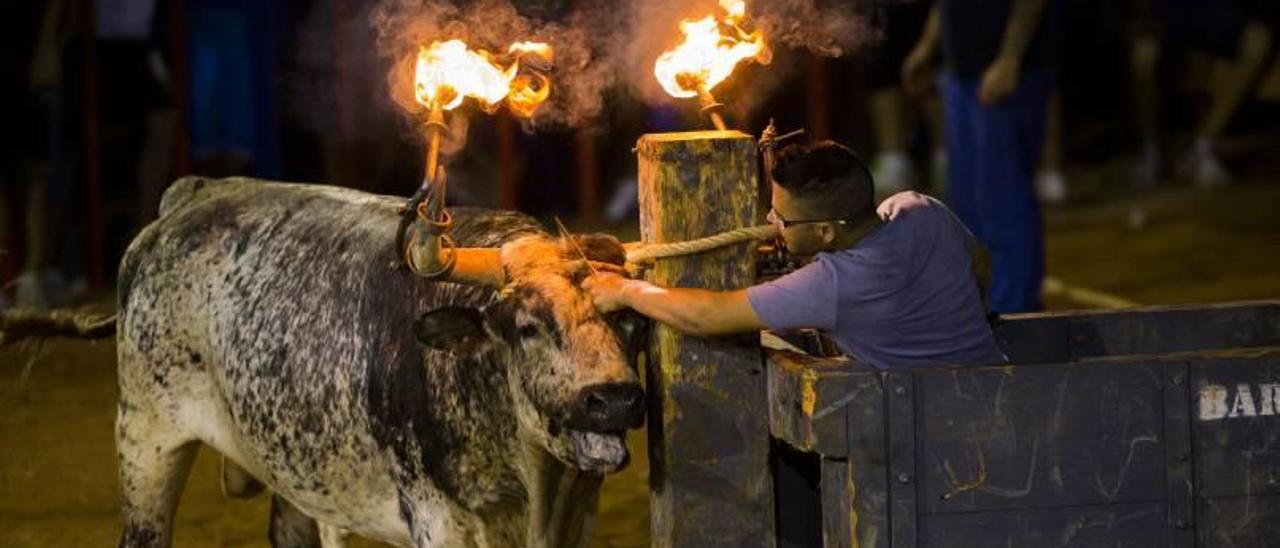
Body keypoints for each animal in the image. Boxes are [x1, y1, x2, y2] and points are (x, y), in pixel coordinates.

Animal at [113, 177, 645, 545]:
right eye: (527, 325)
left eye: (627, 320)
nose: (614, 399)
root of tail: (193, 193)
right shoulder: (439, 522)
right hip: (146, 446)